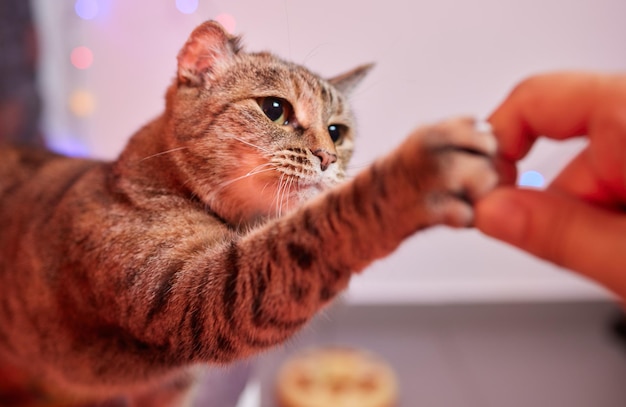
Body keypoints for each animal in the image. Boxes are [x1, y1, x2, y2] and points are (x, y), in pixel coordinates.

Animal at [0, 20, 498, 406]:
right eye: (274, 108)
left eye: (337, 132)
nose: (327, 158)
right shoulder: (199, 293)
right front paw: (416, 171)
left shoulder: (171, 386)